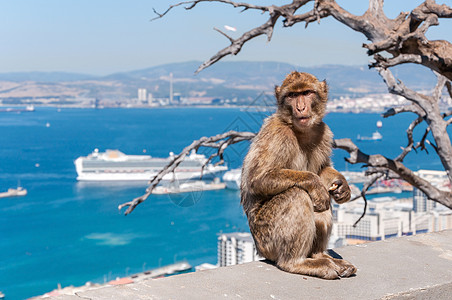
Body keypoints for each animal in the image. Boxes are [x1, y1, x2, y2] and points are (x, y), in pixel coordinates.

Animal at [240, 71, 356, 280]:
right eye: (292, 95)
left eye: (307, 93)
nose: (300, 107)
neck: (300, 130)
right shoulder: (277, 134)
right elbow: (257, 179)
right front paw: (314, 182)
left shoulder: (323, 131)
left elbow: (323, 169)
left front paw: (342, 185)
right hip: (267, 237)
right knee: (298, 194)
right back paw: (297, 263)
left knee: (320, 204)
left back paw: (320, 255)